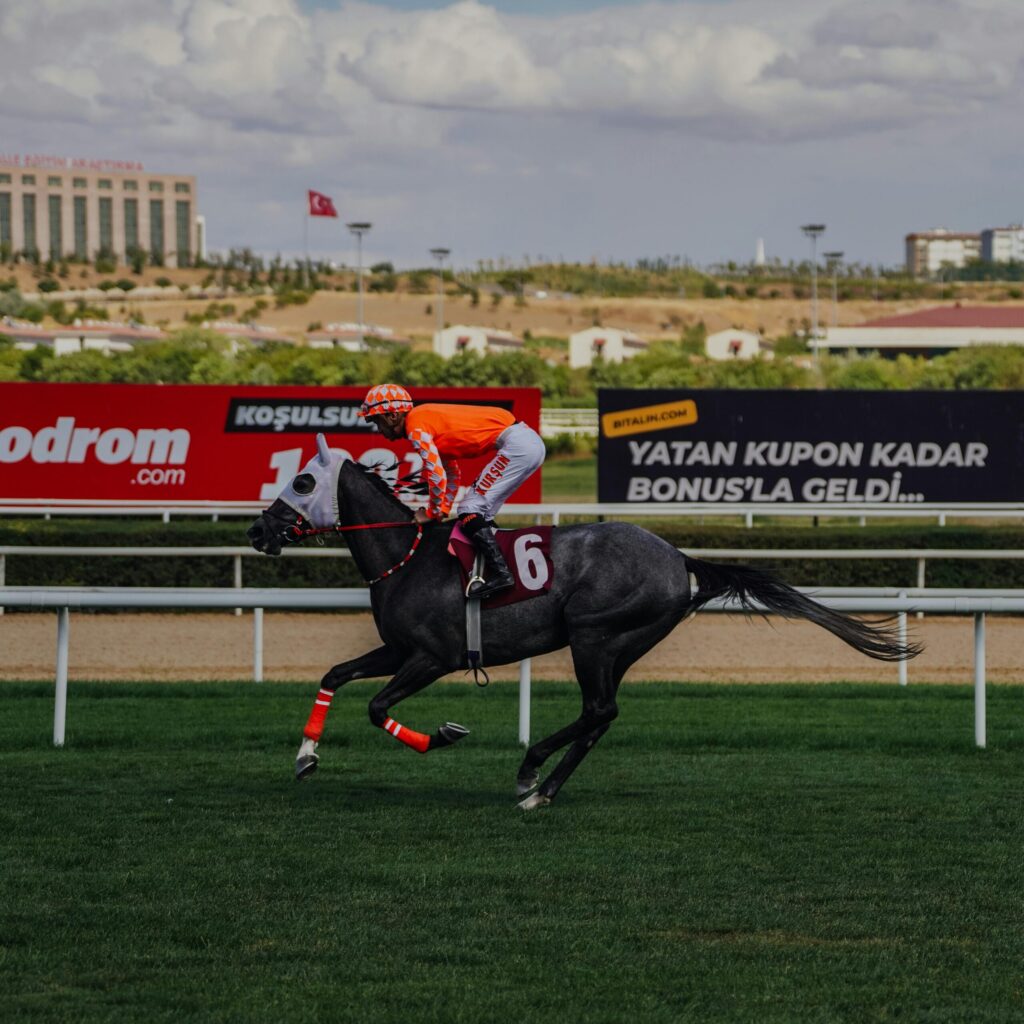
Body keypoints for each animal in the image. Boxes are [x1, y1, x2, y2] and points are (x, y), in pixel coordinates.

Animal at [246, 435, 921, 811]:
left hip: (594, 634)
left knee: (598, 709)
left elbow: (376, 706)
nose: (256, 530)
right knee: (602, 716)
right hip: (619, 644)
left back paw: (531, 774)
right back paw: (541, 786)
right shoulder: (397, 650)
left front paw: (442, 734)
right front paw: (305, 757)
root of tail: (678, 558)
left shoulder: (432, 658)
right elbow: (336, 674)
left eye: (302, 479)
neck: (407, 558)